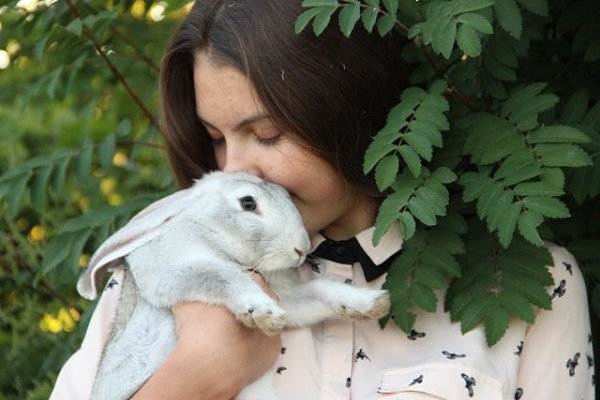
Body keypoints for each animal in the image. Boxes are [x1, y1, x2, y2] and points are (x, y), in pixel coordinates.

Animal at [77, 171, 391, 400]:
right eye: (248, 203)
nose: (301, 248)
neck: (214, 234)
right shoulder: (170, 270)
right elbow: (222, 275)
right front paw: (262, 311)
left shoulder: (290, 300)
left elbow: (319, 290)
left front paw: (372, 303)